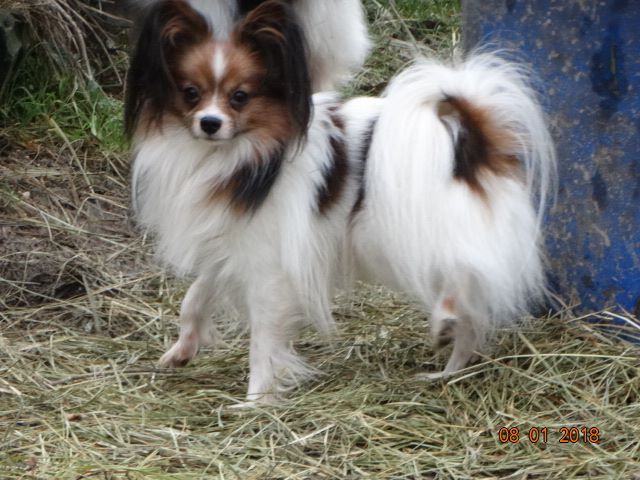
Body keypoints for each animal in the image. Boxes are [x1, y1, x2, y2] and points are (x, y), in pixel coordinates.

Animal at [125, 0, 556, 402]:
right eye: (190, 93)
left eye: (240, 97)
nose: (210, 123)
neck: (243, 156)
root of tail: (473, 143)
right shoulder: (229, 247)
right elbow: (196, 296)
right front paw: (182, 350)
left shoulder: (270, 268)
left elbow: (263, 341)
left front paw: (256, 401)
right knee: (473, 318)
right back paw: (445, 373)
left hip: (431, 236)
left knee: (467, 277)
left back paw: (444, 322)